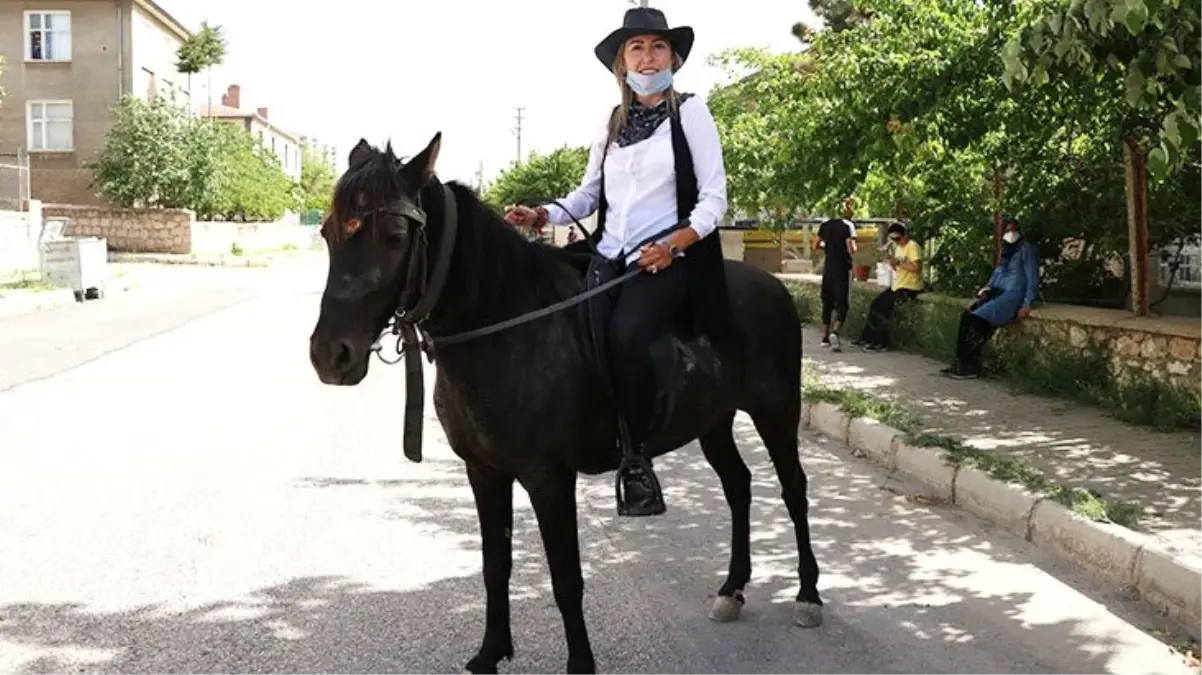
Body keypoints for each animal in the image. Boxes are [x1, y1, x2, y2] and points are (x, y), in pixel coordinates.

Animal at [305, 135, 822, 672]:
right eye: (328, 232)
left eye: (392, 235)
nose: (330, 356)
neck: (508, 329)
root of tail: (774, 287)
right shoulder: (484, 471)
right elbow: (495, 564)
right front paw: (491, 652)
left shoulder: (549, 478)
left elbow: (566, 579)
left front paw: (580, 663)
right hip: (713, 420)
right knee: (738, 486)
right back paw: (732, 588)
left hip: (776, 411)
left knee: (794, 489)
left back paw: (807, 596)